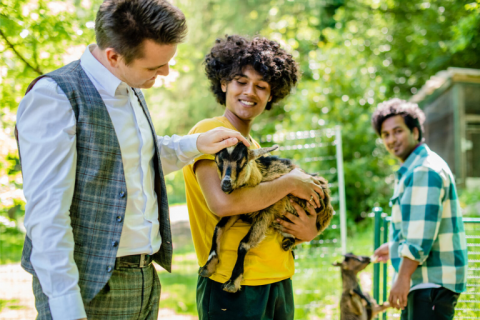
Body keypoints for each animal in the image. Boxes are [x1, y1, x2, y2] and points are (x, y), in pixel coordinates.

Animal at [199, 142, 334, 292]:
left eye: (243, 162)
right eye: (218, 162)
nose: (226, 184)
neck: (260, 177)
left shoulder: (269, 211)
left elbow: (244, 243)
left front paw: (233, 282)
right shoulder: (238, 209)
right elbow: (218, 228)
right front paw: (207, 267)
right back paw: (288, 243)